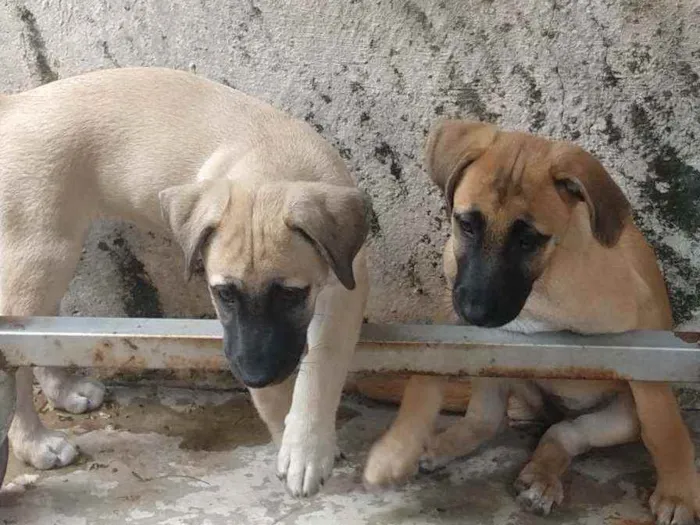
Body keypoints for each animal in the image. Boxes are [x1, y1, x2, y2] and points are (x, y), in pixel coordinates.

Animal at [0, 67, 372, 498]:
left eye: (291, 295)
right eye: (223, 293)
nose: (253, 374)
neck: (273, 159)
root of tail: (13, 105)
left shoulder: (346, 284)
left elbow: (323, 363)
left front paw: (306, 445)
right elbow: (274, 396)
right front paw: (290, 441)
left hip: (51, 259)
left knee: (39, 331)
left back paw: (63, 391)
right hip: (40, 254)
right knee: (16, 356)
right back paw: (32, 441)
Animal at [364, 119, 696, 524]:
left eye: (528, 240)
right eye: (467, 225)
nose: (476, 312)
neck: (541, 289)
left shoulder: (644, 341)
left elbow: (663, 429)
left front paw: (678, 493)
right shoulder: (450, 311)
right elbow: (421, 384)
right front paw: (394, 452)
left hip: (619, 416)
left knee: (566, 433)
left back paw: (542, 476)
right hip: (498, 364)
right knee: (489, 419)